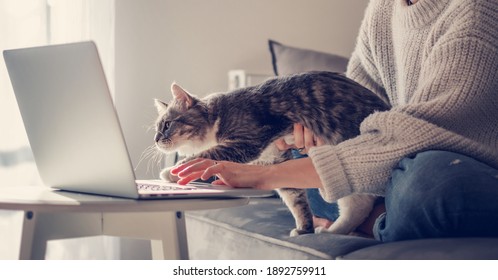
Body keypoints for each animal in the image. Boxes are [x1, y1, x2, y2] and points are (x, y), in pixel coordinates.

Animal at [154, 71, 392, 236]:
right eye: (157, 127)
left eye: (166, 125)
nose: (156, 139)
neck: (216, 115)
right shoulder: (274, 159)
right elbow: (295, 198)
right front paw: (304, 228)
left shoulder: (247, 140)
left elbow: (206, 155)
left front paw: (172, 171)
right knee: (358, 204)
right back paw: (333, 231)